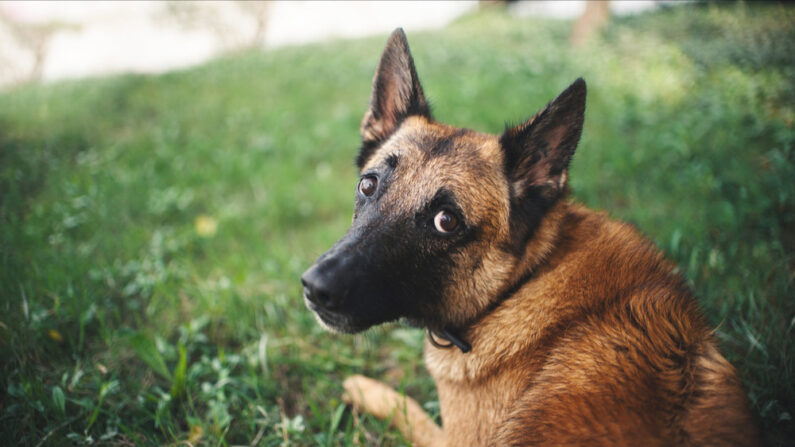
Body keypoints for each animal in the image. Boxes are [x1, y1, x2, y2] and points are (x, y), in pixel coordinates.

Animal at [302, 28, 760, 447]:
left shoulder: (452, 439)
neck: (520, 283)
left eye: (446, 221)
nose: (314, 288)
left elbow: (407, 407)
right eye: (368, 185)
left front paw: (365, 389)